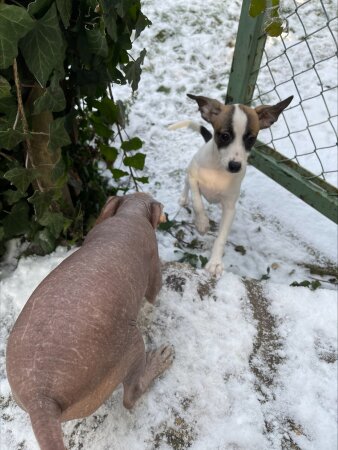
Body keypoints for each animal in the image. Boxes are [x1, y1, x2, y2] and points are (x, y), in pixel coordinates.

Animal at [5, 192, 174, 450]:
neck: (130, 213)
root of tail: (41, 400)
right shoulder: (153, 258)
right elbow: (155, 292)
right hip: (128, 345)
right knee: (130, 396)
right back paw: (155, 364)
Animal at [170, 93, 292, 274]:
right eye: (225, 136)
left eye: (251, 139)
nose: (235, 166)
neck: (218, 169)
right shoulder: (194, 177)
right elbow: (197, 201)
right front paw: (202, 223)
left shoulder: (229, 208)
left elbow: (221, 237)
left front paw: (215, 262)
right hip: (189, 170)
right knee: (186, 185)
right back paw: (184, 198)